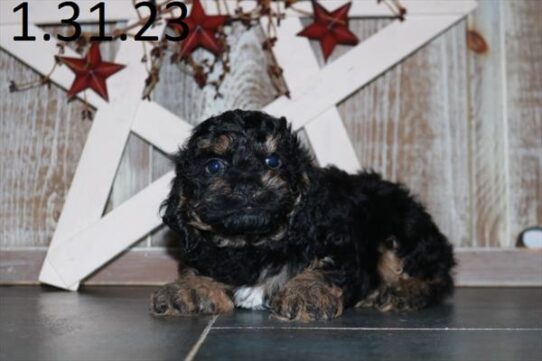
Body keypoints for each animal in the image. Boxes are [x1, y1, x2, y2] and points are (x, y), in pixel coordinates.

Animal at [151, 108, 456, 320]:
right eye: (214, 166)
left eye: (273, 161)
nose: (247, 186)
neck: (252, 243)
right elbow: (197, 269)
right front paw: (189, 288)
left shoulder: (338, 245)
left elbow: (327, 269)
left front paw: (306, 291)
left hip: (401, 227)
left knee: (434, 277)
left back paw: (403, 291)